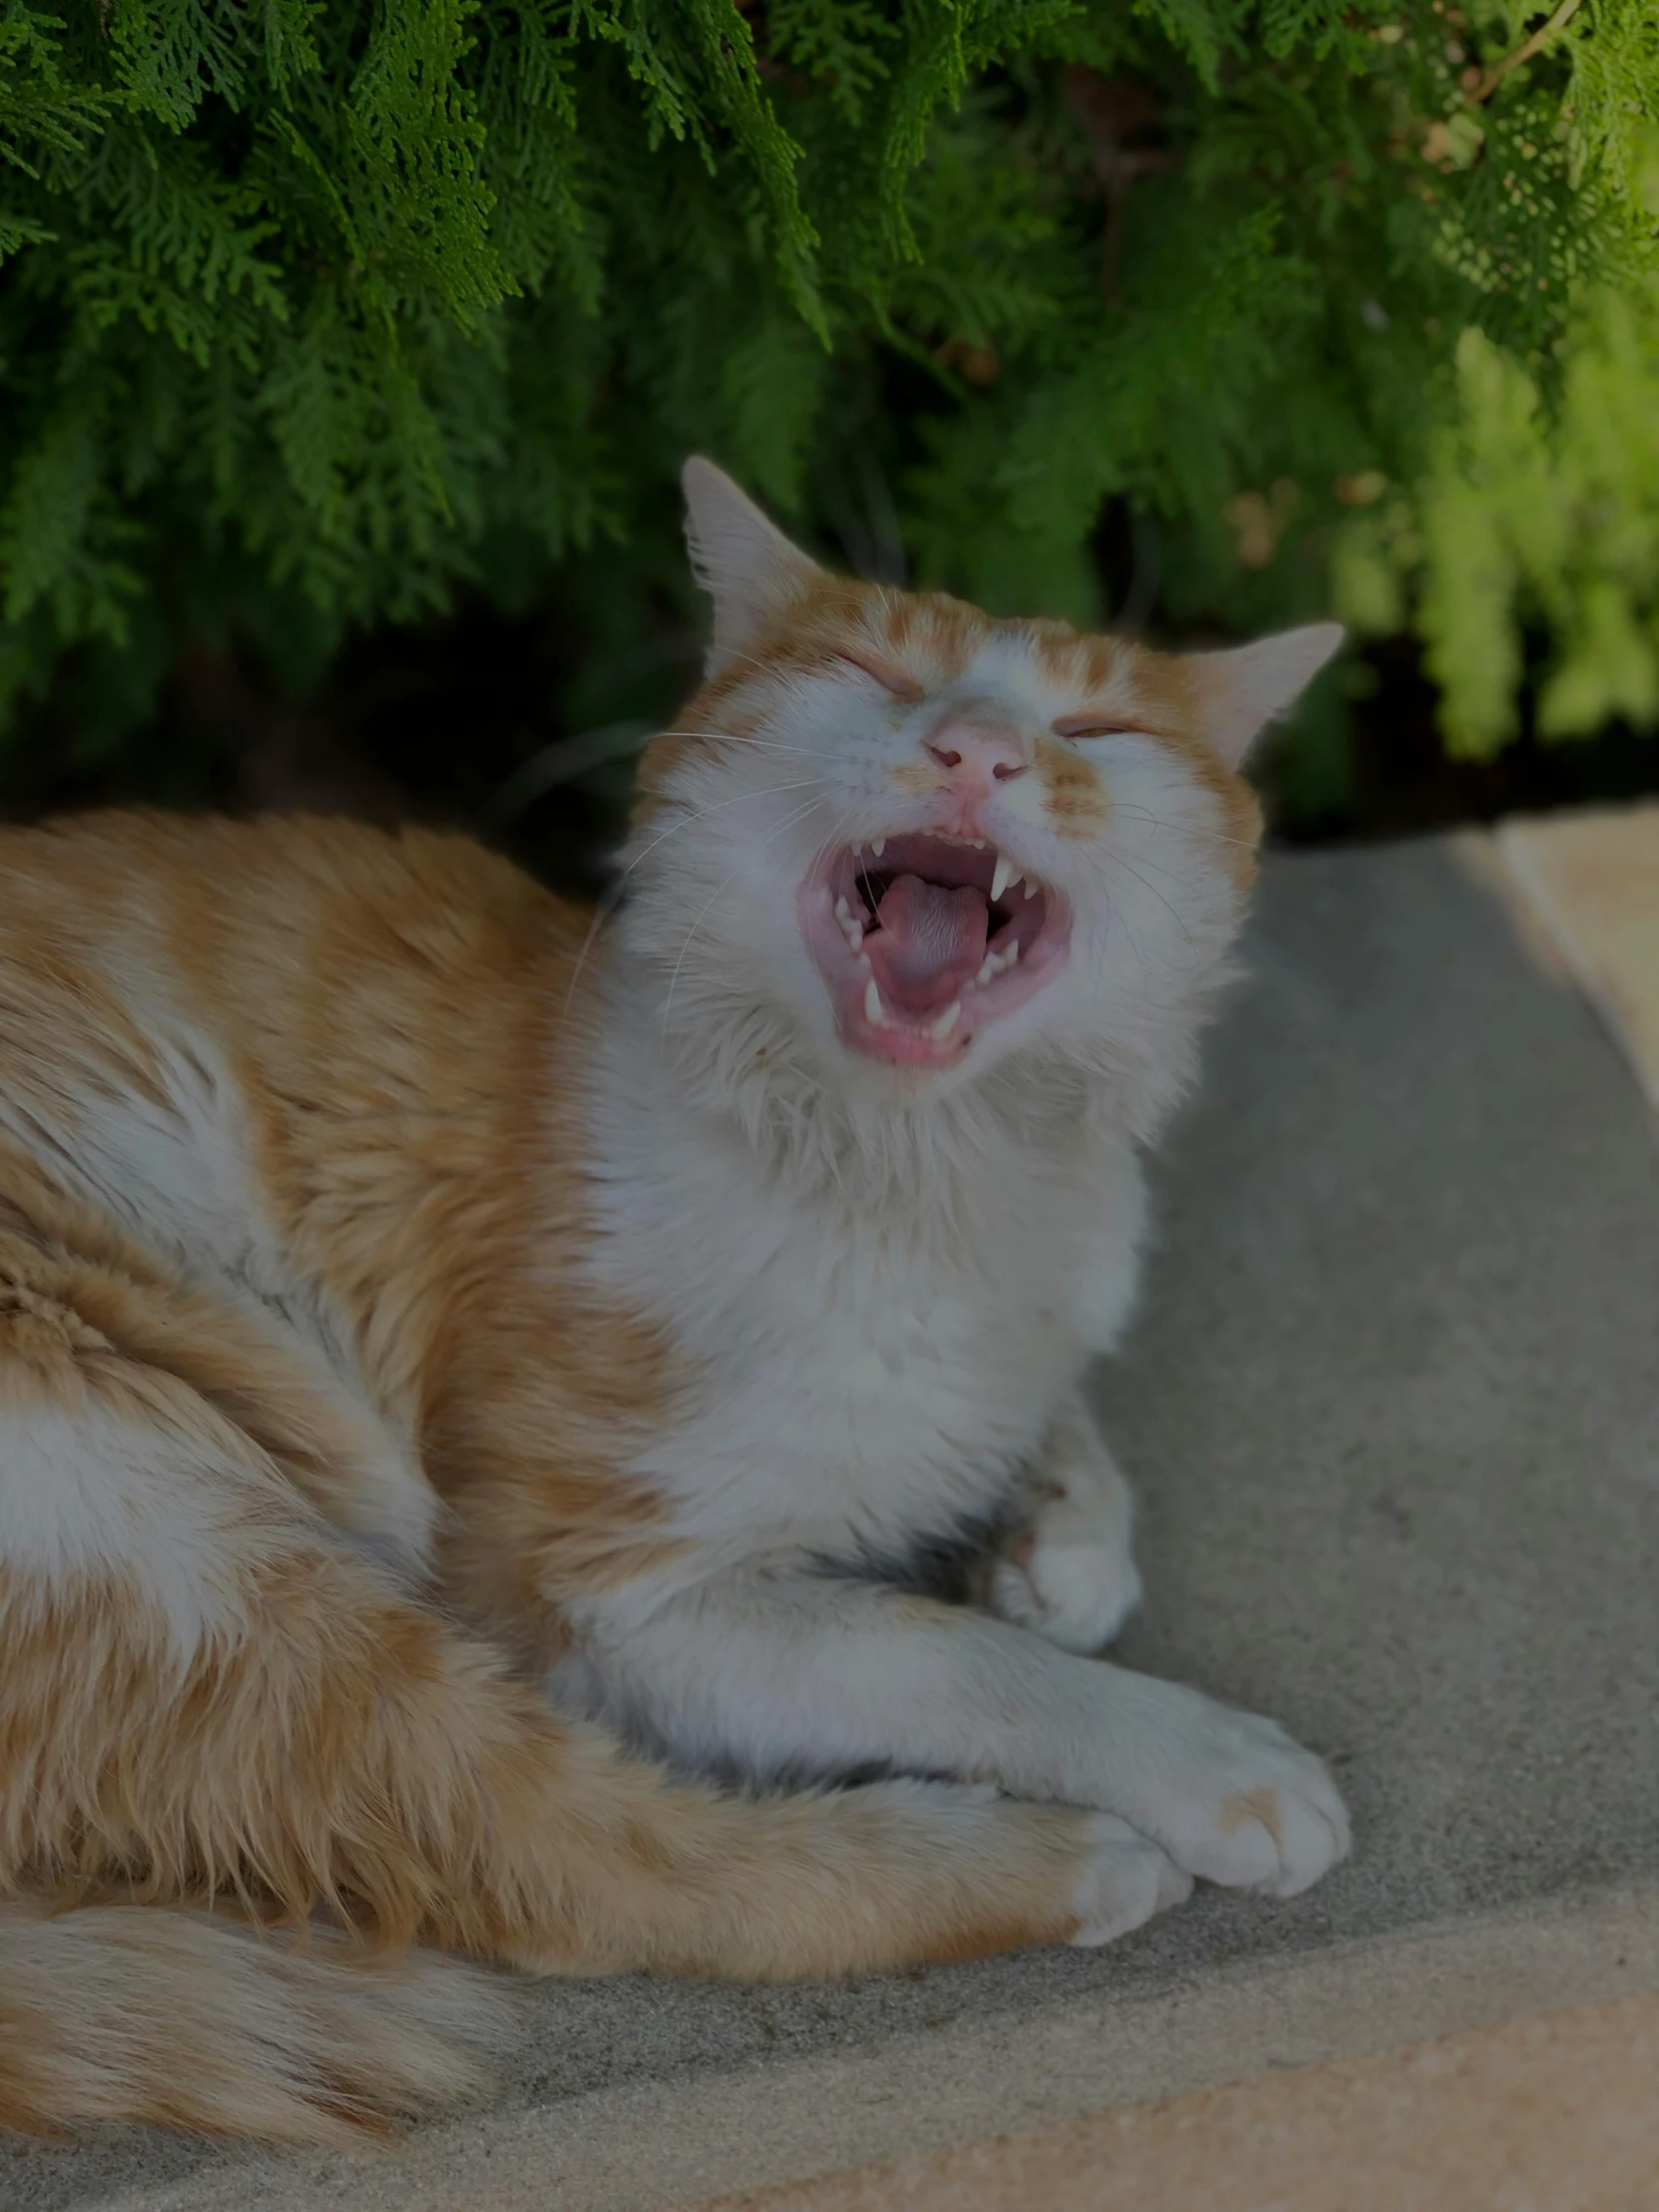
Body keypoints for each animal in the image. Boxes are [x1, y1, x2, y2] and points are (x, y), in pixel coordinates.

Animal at [0, 462, 1354, 2141]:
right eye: (876, 673)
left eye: (1097, 730)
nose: (974, 747)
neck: (920, 1183)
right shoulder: (595, 1591)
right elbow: (933, 1649)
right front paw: (1187, 1751)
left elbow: (1056, 1424)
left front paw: (1055, 1537)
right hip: (170, 1528)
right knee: (570, 1863)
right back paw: (1043, 1855)